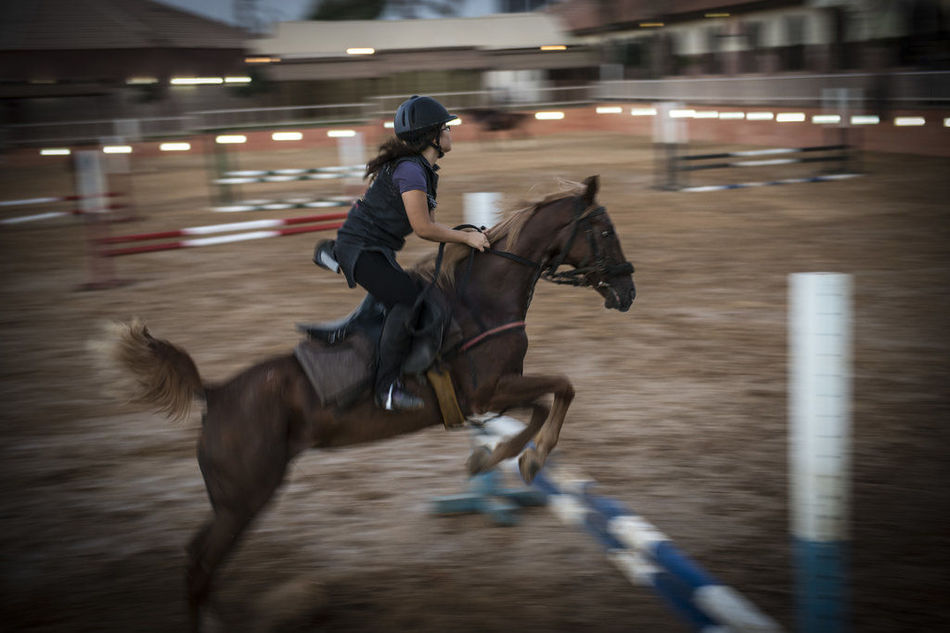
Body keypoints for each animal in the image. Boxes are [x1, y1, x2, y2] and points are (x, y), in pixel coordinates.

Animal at [96, 173, 636, 628]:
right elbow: (563, 386)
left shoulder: (494, 393)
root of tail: (217, 392)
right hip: (243, 498)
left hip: (232, 500)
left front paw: (496, 458)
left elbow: (543, 405)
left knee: (195, 557)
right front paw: (527, 459)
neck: (481, 301)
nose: (628, 290)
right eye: (605, 230)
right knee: (200, 564)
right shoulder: (489, 389)